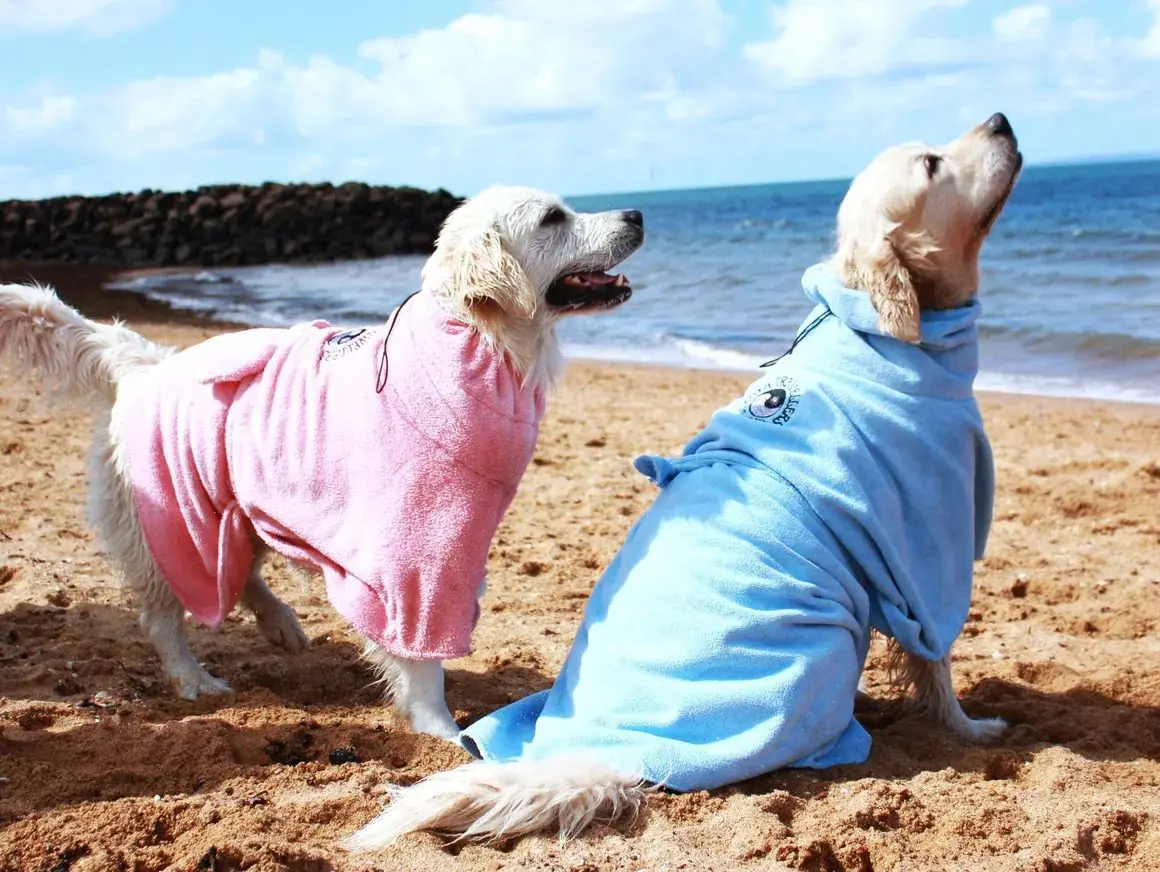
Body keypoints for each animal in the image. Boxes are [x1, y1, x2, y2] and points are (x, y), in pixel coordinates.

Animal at [345, 112, 1025, 848]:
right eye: (932, 165)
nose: (1000, 120)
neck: (883, 324)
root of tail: (616, 754)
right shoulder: (932, 538)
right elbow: (939, 661)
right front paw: (972, 729)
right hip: (824, 648)